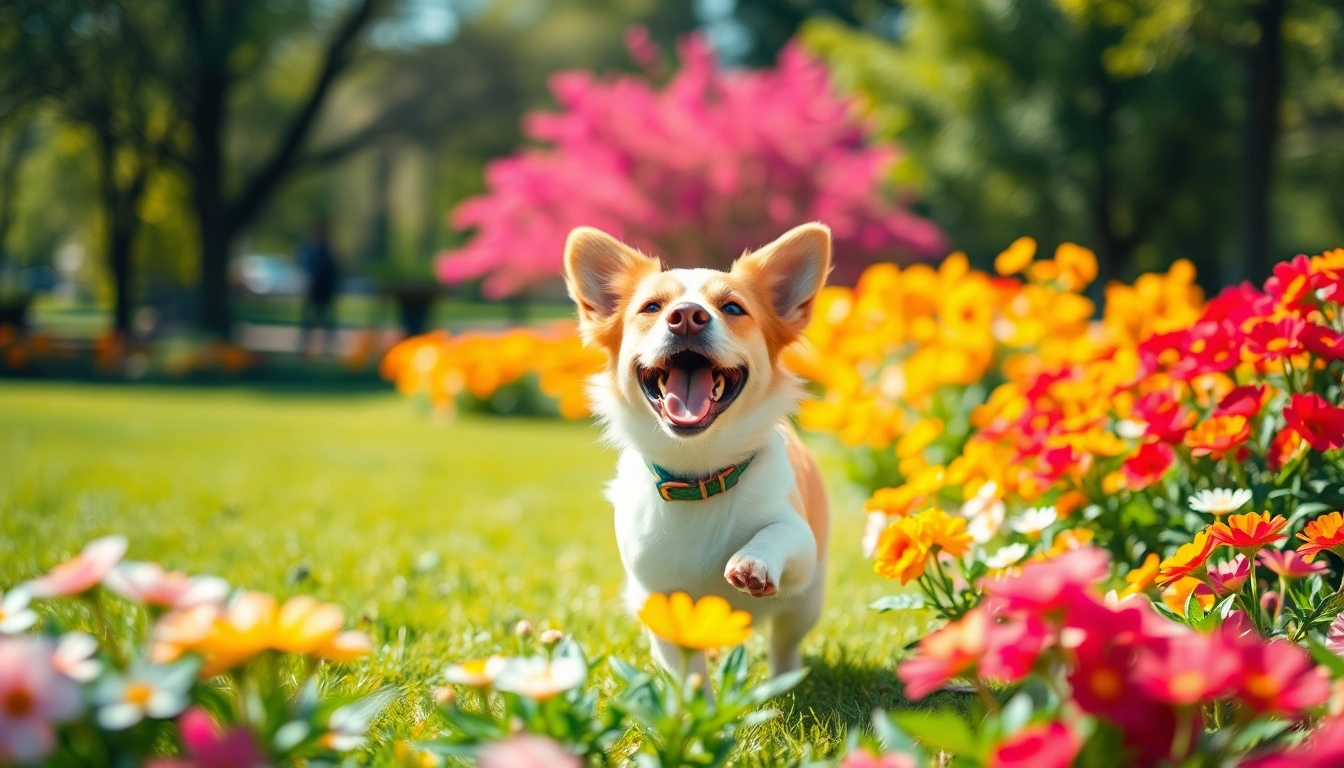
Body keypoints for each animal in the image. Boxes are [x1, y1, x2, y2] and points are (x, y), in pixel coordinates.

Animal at [559, 223, 827, 677]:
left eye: (733, 308)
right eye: (651, 307)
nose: (686, 315)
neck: (700, 474)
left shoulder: (801, 546)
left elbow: (779, 531)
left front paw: (753, 561)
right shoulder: (660, 601)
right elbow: (689, 675)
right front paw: (695, 699)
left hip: (806, 604)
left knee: (785, 644)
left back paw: (786, 678)